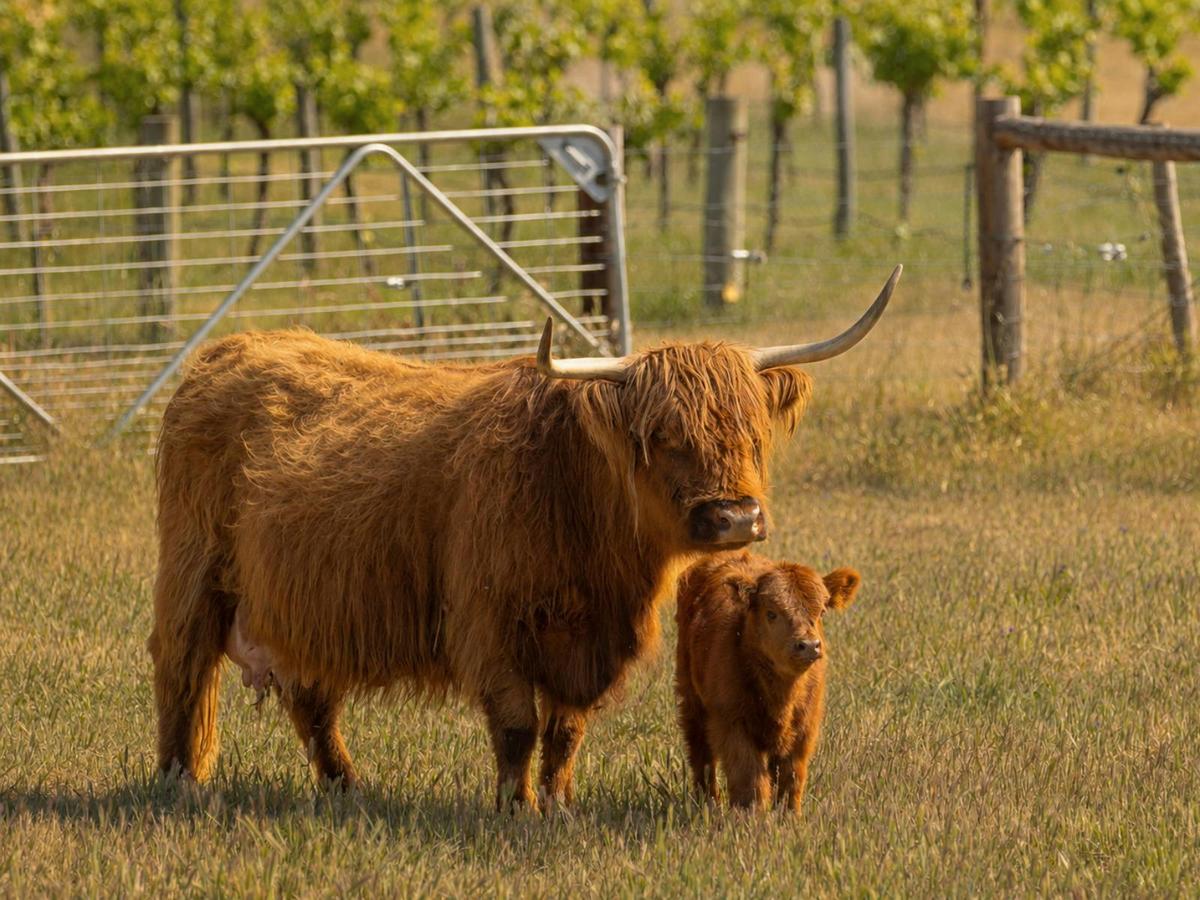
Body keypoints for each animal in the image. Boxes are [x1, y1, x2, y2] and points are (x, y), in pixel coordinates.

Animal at [675, 552, 861, 811]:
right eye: (771, 613)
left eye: (822, 611)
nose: (808, 645)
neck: (781, 694)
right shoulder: (733, 725)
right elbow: (749, 778)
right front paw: (751, 814)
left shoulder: (804, 729)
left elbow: (791, 777)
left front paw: (789, 815)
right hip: (691, 700)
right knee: (701, 754)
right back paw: (708, 802)